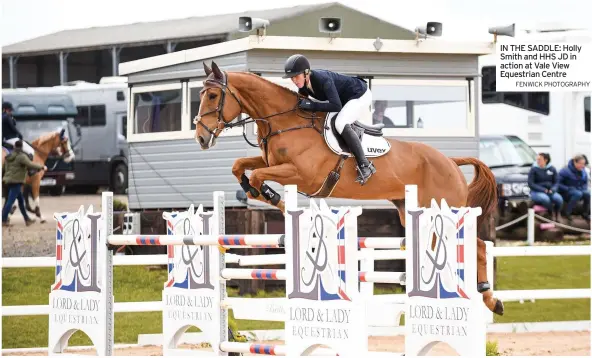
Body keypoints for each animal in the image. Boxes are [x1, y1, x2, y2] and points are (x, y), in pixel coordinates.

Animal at [194, 61, 504, 316]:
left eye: (212, 96)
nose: (201, 138)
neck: (285, 121)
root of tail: (449, 160)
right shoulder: (273, 162)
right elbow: (240, 166)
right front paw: (259, 193)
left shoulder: (302, 174)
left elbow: (258, 175)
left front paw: (271, 196)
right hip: (415, 211)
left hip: (447, 207)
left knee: (477, 245)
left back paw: (491, 299)